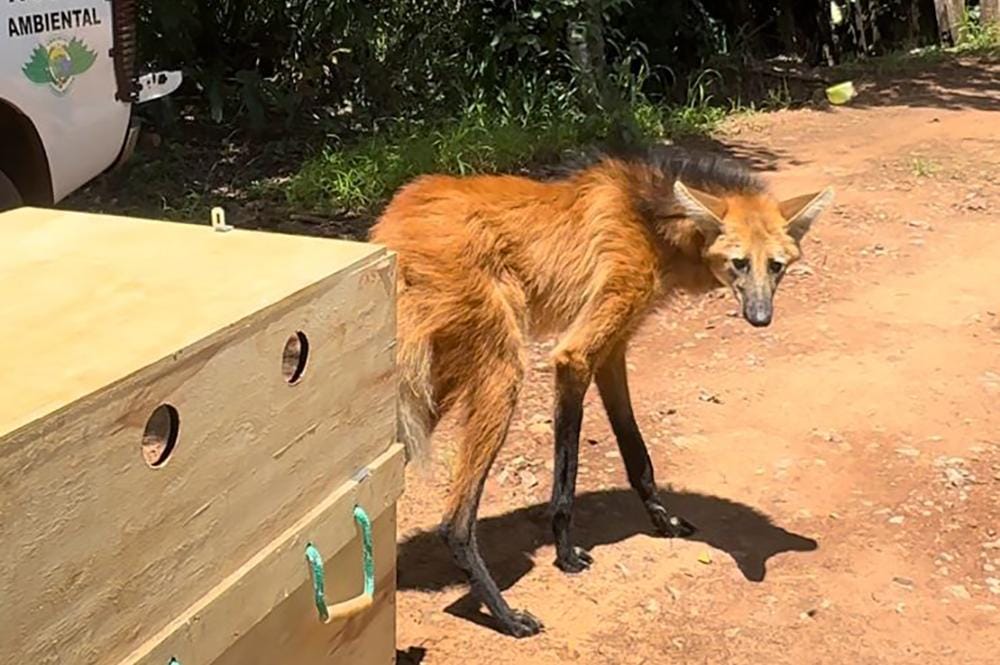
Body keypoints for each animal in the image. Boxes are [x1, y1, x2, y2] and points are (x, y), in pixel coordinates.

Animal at [372, 147, 832, 640]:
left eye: (776, 266)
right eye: (739, 263)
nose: (760, 317)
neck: (652, 222)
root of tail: (391, 228)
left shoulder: (613, 352)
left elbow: (638, 456)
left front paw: (663, 521)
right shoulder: (575, 356)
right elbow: (567, 477)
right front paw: (566, 554)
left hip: (427, 389)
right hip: (499, 372)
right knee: (454, 523)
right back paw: (506, 615)